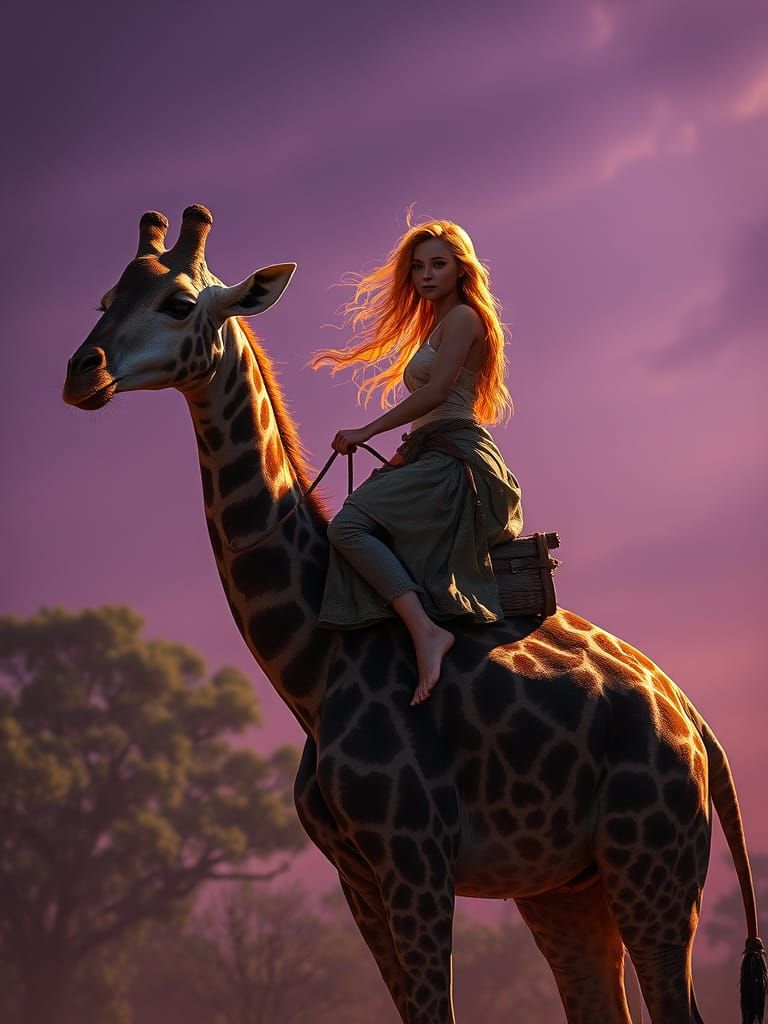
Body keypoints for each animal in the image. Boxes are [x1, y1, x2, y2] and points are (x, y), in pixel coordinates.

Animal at [62, 206, 766, 1024]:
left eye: (178, 305)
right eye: (105, 297)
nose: (82, 374)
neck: (311, 669)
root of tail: (699, 726)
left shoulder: (416, 858)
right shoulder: (355, 875)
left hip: (651, 860)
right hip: (567, 885)